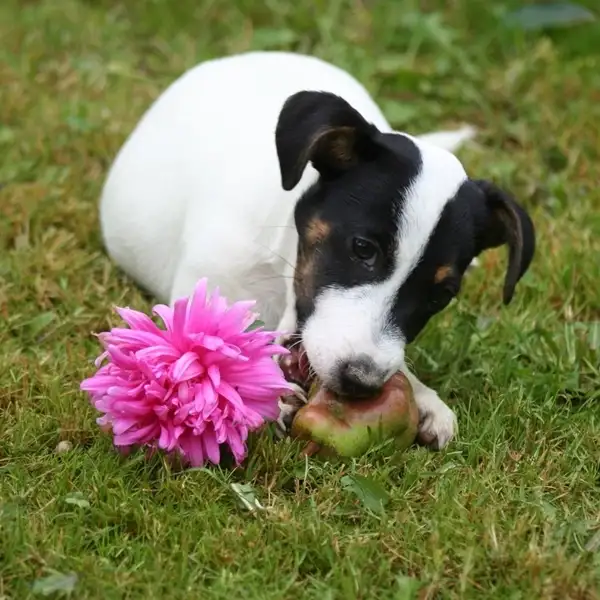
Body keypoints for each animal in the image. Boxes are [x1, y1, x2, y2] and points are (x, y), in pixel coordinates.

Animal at [99, 51, 536, 450]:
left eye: (440, 295)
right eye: (363, 248)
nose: (361, 382)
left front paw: (422, 394)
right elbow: (219, 355)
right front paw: (267, 393)